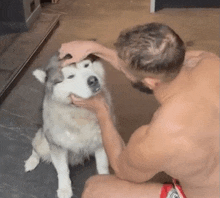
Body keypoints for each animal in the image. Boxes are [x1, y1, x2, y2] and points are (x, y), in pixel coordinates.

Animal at [25, 53, 111, 198]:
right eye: (70, 76)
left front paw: (104, 183)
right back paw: (31, 161)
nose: (93, 80)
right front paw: (65, 189)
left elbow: (102, 165)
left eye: (86, 65)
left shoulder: (101, 141)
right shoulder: (57, 145)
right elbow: (63, 170)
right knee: (36, 148)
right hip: (44, 140)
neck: (78, 113)